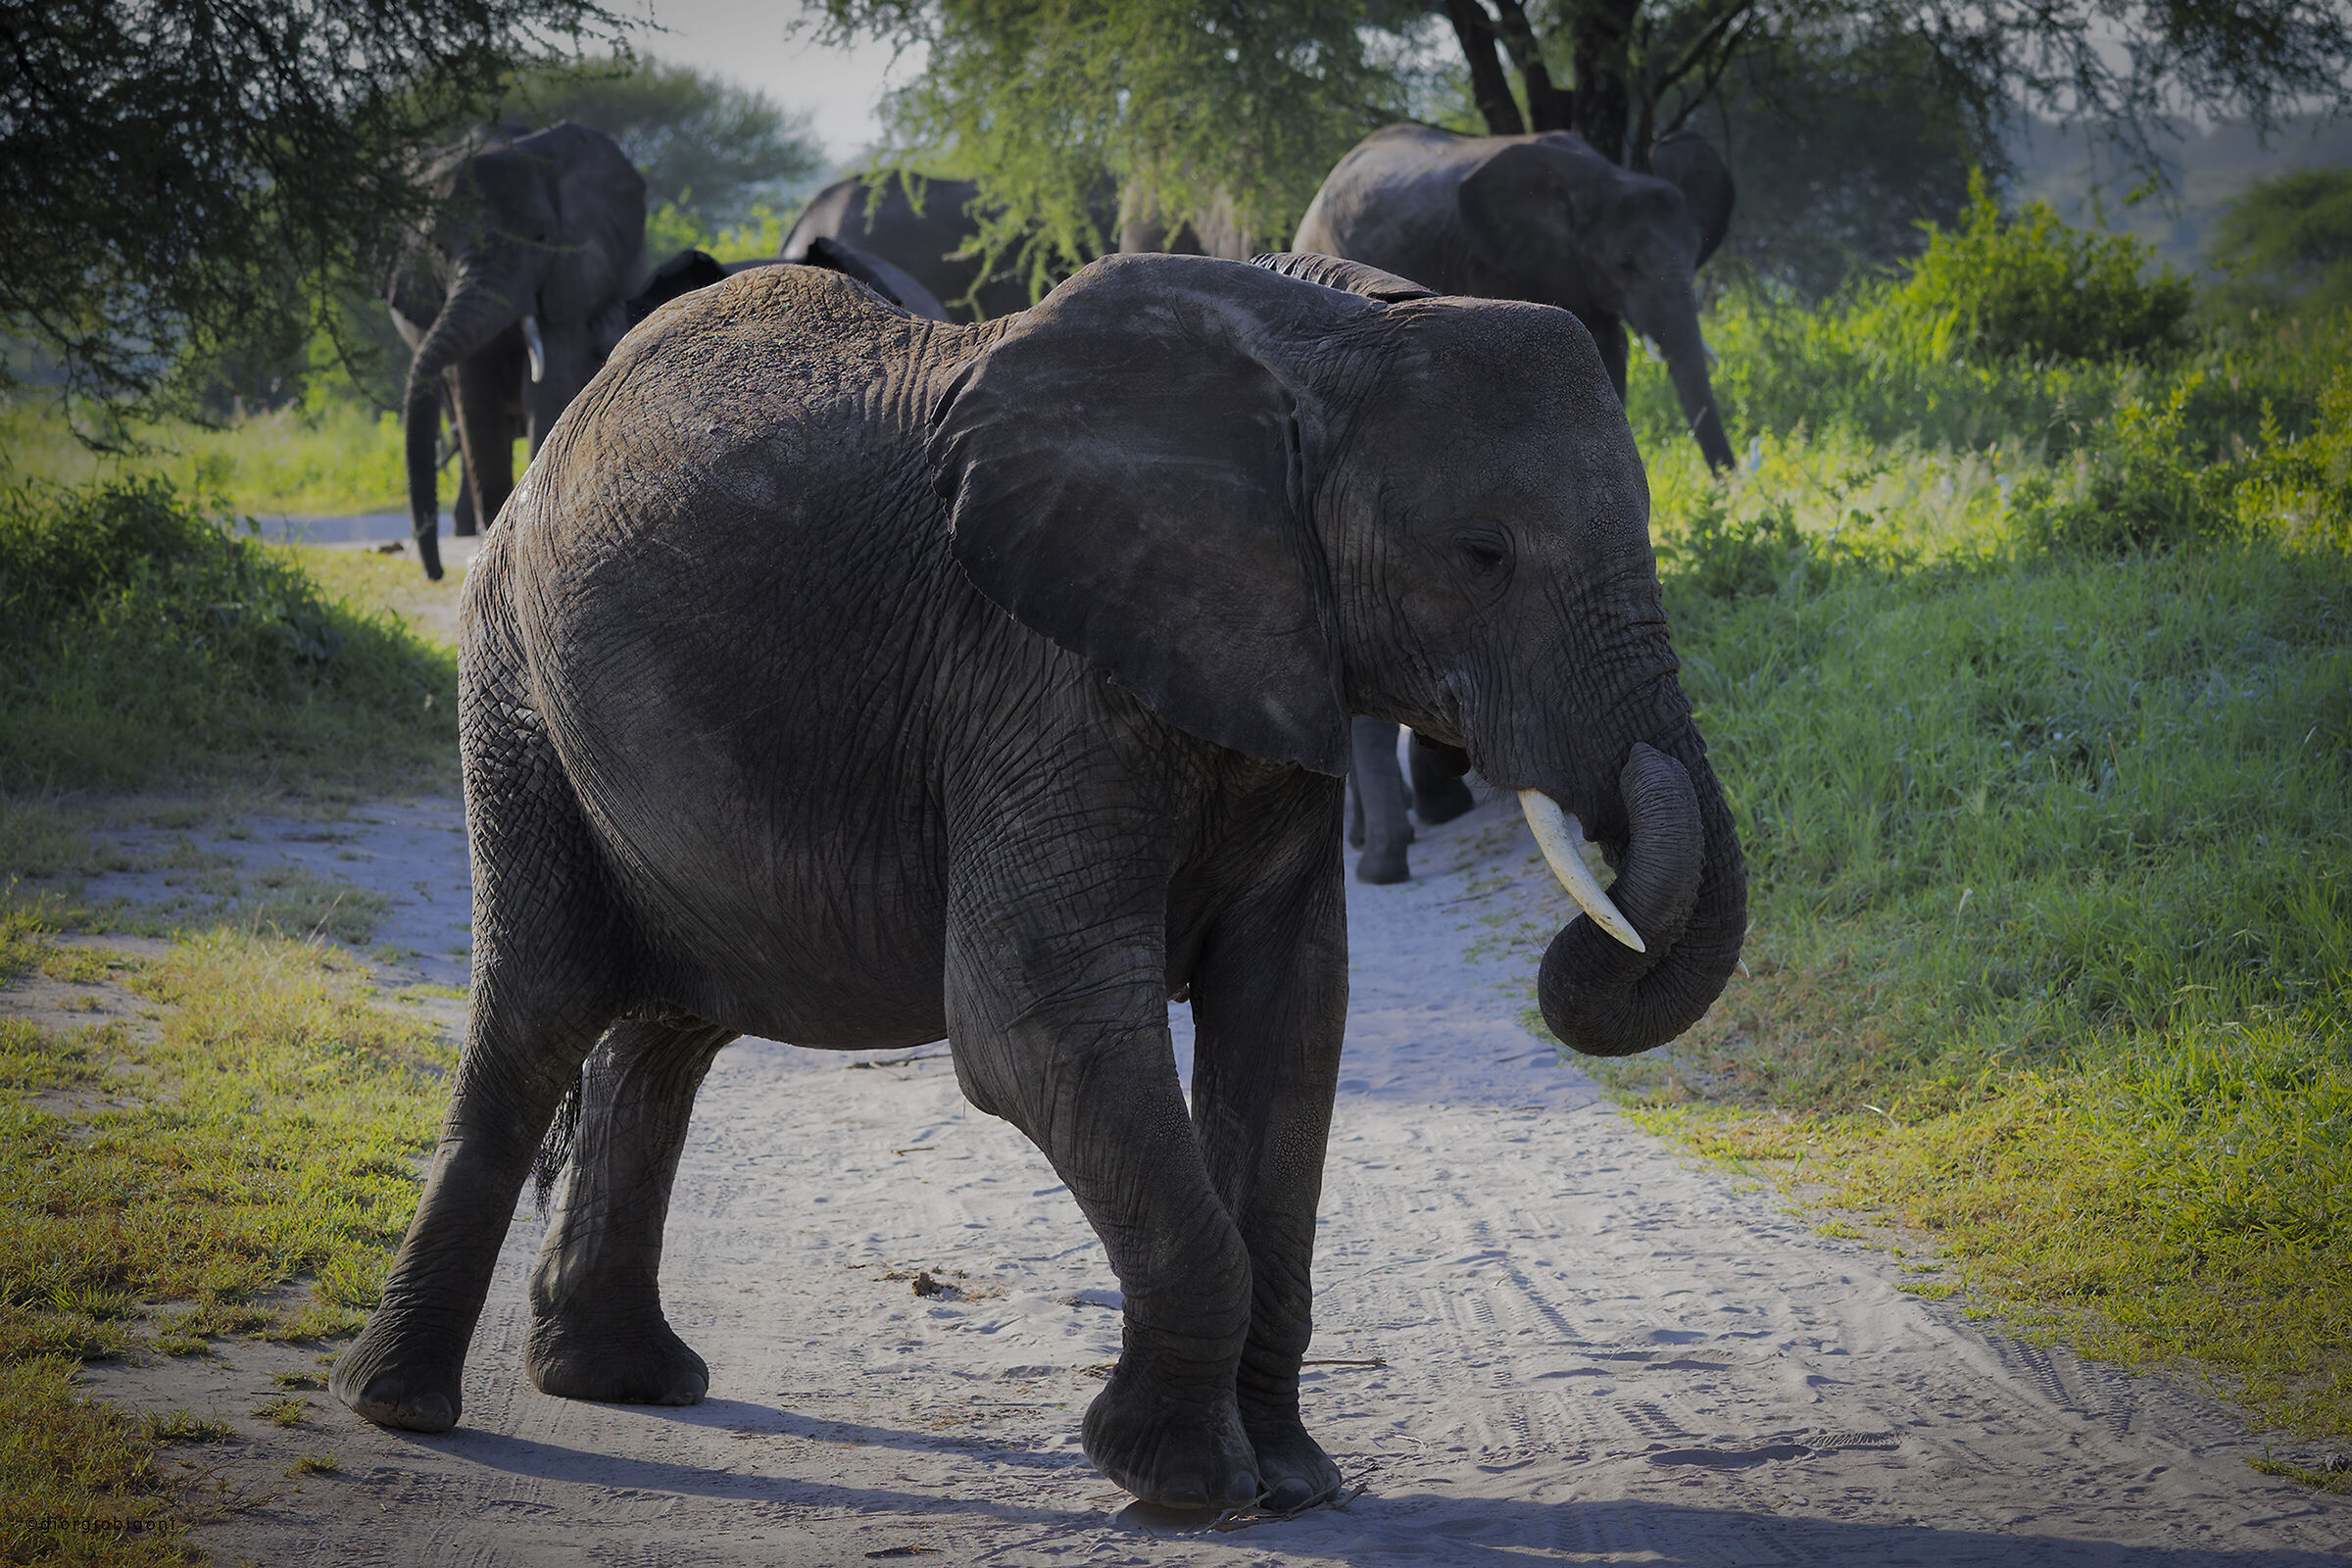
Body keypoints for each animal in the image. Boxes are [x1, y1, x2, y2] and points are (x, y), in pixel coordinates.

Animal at [326, 248, 1748, 1513]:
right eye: (1482, 553)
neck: (1322, 334)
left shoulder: (1268, 664)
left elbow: (1291, 1022)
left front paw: (1292, 1483)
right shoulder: (1039, 672)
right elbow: (1037, 1025)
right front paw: (1182, 1486)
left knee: (663, 1035)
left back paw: (621, 1382)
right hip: (515, 695)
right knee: (537, 1017)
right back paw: (403, 1407)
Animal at [392, 121, 646, 581]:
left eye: (541, 238)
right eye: (438, 249)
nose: (434, 574)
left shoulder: (570, 275)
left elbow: (550, 382)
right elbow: (475, 400)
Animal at [1293, 123, 1736, 475]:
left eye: (1696, 254)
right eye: (1624, 265)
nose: (1728, 486)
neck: (1606, 178)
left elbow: (1606, 351)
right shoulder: (1505, 262)